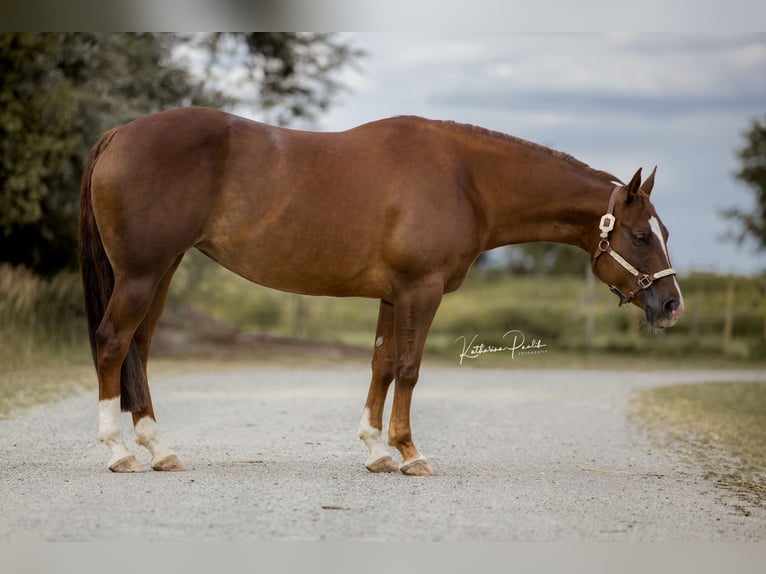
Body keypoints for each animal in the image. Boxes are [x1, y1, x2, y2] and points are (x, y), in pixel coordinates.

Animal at [79, 107, 684, 474]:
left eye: (665, 232)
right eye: (639, 235)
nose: (671, 305)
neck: (464, 180)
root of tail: (119, 134)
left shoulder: (393, 295)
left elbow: (382, 364)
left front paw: (375, 451)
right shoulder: (421, 290)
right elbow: (410, 368)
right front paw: (410, 453)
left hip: (161, 272)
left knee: (139, 350)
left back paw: (160, 450)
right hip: (142, 274)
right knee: (112, 342)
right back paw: (118, 452)